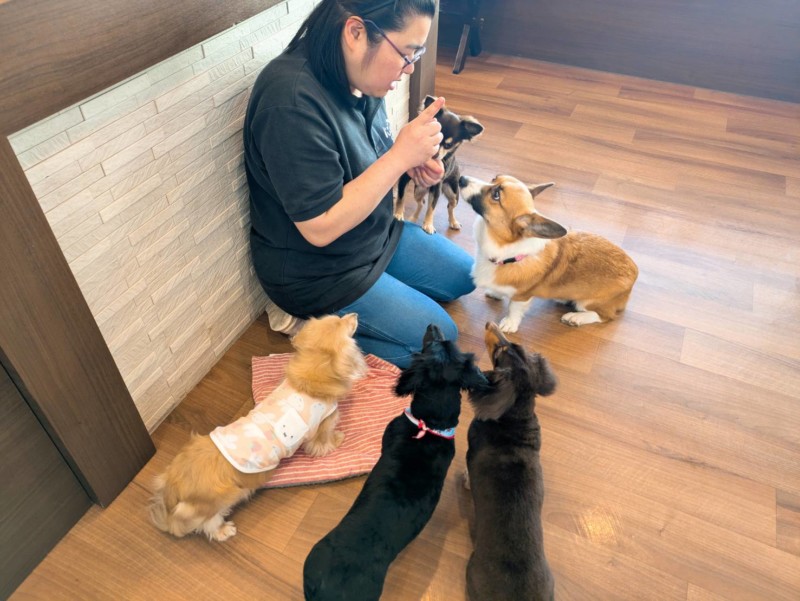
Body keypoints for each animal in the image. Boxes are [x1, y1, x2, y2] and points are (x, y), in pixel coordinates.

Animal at [148, 313, 366, 542]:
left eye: (338, 317)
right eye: (345, 324)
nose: (354, 314)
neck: (308, 379)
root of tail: (173, 487)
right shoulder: (325, 423)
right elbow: (325, 442)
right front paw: (338, 439)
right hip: (225, 497)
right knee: (208, 523)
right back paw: (223, 530)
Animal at [395, 96, 484, 234]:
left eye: (448, 145)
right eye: (431, 137)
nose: (435, 154)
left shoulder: (436, 186)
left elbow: (432, 207)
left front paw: (428, 224)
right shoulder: (404, 177)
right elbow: (401, 196)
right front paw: (398, 214)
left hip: (453, 194)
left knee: (450, 207)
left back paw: (453, 222)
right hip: (418, 190)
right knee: (421, 202)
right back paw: (413, 218)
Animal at [460, 174, 639, 332]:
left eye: (496, 195)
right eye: (494, 178)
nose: (461, 179)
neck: (507, 251)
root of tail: (635, 271)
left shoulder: (522, 296)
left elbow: (514, 308)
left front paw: (509, 324)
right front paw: (496, 293)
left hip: (587, 302)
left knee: (605, 316)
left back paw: (576, 317)